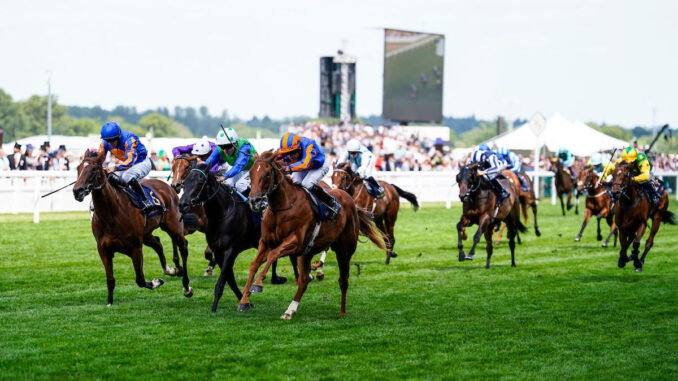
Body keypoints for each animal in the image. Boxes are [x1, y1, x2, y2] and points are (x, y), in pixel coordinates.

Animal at [73, 149, 193, 306]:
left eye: (93, 169)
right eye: (78, 168)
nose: (77, 191)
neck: (111, 213)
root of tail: (168, 187)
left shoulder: (135, 247)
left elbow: (140, 280)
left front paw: (156, 282)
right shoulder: (103, 249)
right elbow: (110, 280)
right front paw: (109, 303)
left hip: (174, 227)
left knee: (183, 247)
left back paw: (186, 287)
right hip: (146, 234)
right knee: (158, 243)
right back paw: (171, 270)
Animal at [240, 150, 388, 320]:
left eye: (267, 174)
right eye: (250, 173)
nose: (254, 201)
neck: (282, 207)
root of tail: (348, 198)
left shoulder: (294, 242)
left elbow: (273, 255)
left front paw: (257, 284)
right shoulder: (266, 242)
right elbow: (254, 264)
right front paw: (244, 299)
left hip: (344, 251)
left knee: (343, 280)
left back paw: (342, 311)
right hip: (306, 253)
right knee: (304, 281)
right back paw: (289, 310)